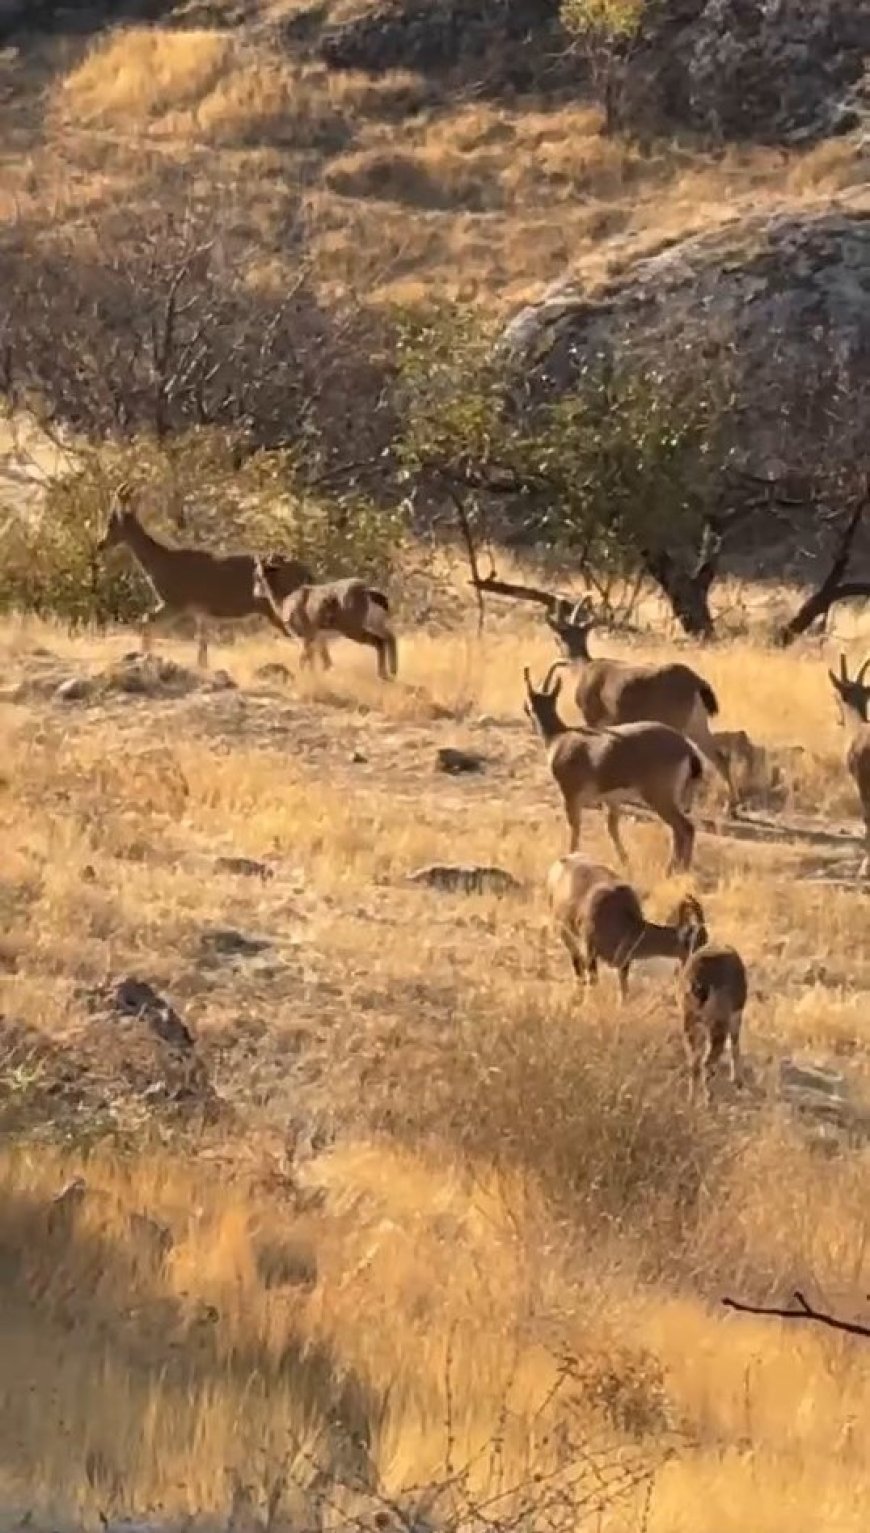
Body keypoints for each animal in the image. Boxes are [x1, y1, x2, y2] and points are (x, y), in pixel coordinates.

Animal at [99, 484, 309, 665]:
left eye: (111, 522)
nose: (100, 544)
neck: (161, 563)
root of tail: (306, 571)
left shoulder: (176, 602)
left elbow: (146, 620)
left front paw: (144, 655)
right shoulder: (199, 611)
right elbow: (202, 644)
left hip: (278, 609)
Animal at [251, 558, 398, 677]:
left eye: (257, 575)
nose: (255, 592)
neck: (284, 600)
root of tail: (368, 591)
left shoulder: (305, 637)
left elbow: (305, 659)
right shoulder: (318, 639)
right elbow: (321, 662)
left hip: (354, 630)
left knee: (379, 642)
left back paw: (383, 675)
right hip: (375, 624)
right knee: (390, 638)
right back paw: (392, 672)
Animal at [523, 662, 701, 876]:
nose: (526, 710)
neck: (560, 738)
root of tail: (686, 747)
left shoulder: (571, 794)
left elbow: (575, 827)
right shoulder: (612, 799)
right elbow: (612, 828)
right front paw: (625, 861)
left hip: (659, 796)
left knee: (684, 827)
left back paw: (673, 870)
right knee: (681, 830)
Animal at [548, 597, 738, 815]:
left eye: (559, 636)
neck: (583, 669)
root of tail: (697, 683)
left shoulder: (593, 717)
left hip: (678, 722)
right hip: (697, 724)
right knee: (719, 757)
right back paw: (729, 807)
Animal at [551, 858, 707, 999]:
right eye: (697, 943)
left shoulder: (624, 963)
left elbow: (624, 991)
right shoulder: (589, 951)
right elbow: (594, 980)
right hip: (565, 934)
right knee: (577, 963)